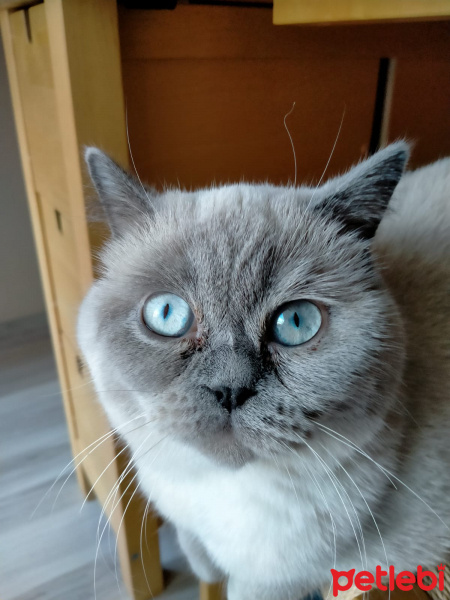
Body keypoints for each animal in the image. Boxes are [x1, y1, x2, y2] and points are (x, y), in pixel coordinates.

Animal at [79, 144, 448, 600]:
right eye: (167, 314)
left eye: (296, 322)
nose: (230, 389)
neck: (223, 497)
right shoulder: (179, 510)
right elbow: (194, 549)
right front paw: (206, 570)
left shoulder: (278, 582)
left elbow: (240, 586)